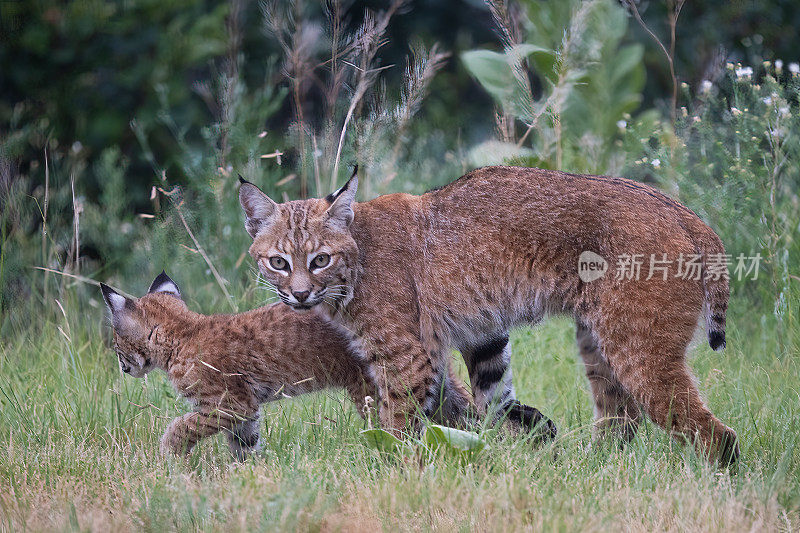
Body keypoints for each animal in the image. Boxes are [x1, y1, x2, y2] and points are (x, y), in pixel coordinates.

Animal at [100, 272, 476, 456]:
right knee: (464, 410)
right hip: (430, 376)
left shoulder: (228, 404)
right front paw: (250, 475)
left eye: (117, 345)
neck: (182, 332)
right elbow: (245, 442)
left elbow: (182, 425)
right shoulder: (245, 409)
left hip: (372, 385)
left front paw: (168, 456)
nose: (122, 367)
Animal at [241, 164, 740, 464]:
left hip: (638, 346)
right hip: (598, 339)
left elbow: (397, 420)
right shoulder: (471, 336)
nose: (299, 295)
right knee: (622, 415)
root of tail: (679, 208)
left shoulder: (405, 355)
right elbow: (487, 397)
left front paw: (391, 469)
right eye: (278, 262)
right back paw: (592, 468)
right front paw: (519, 441)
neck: (355, 259)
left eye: (320, 260)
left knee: (712, 431)